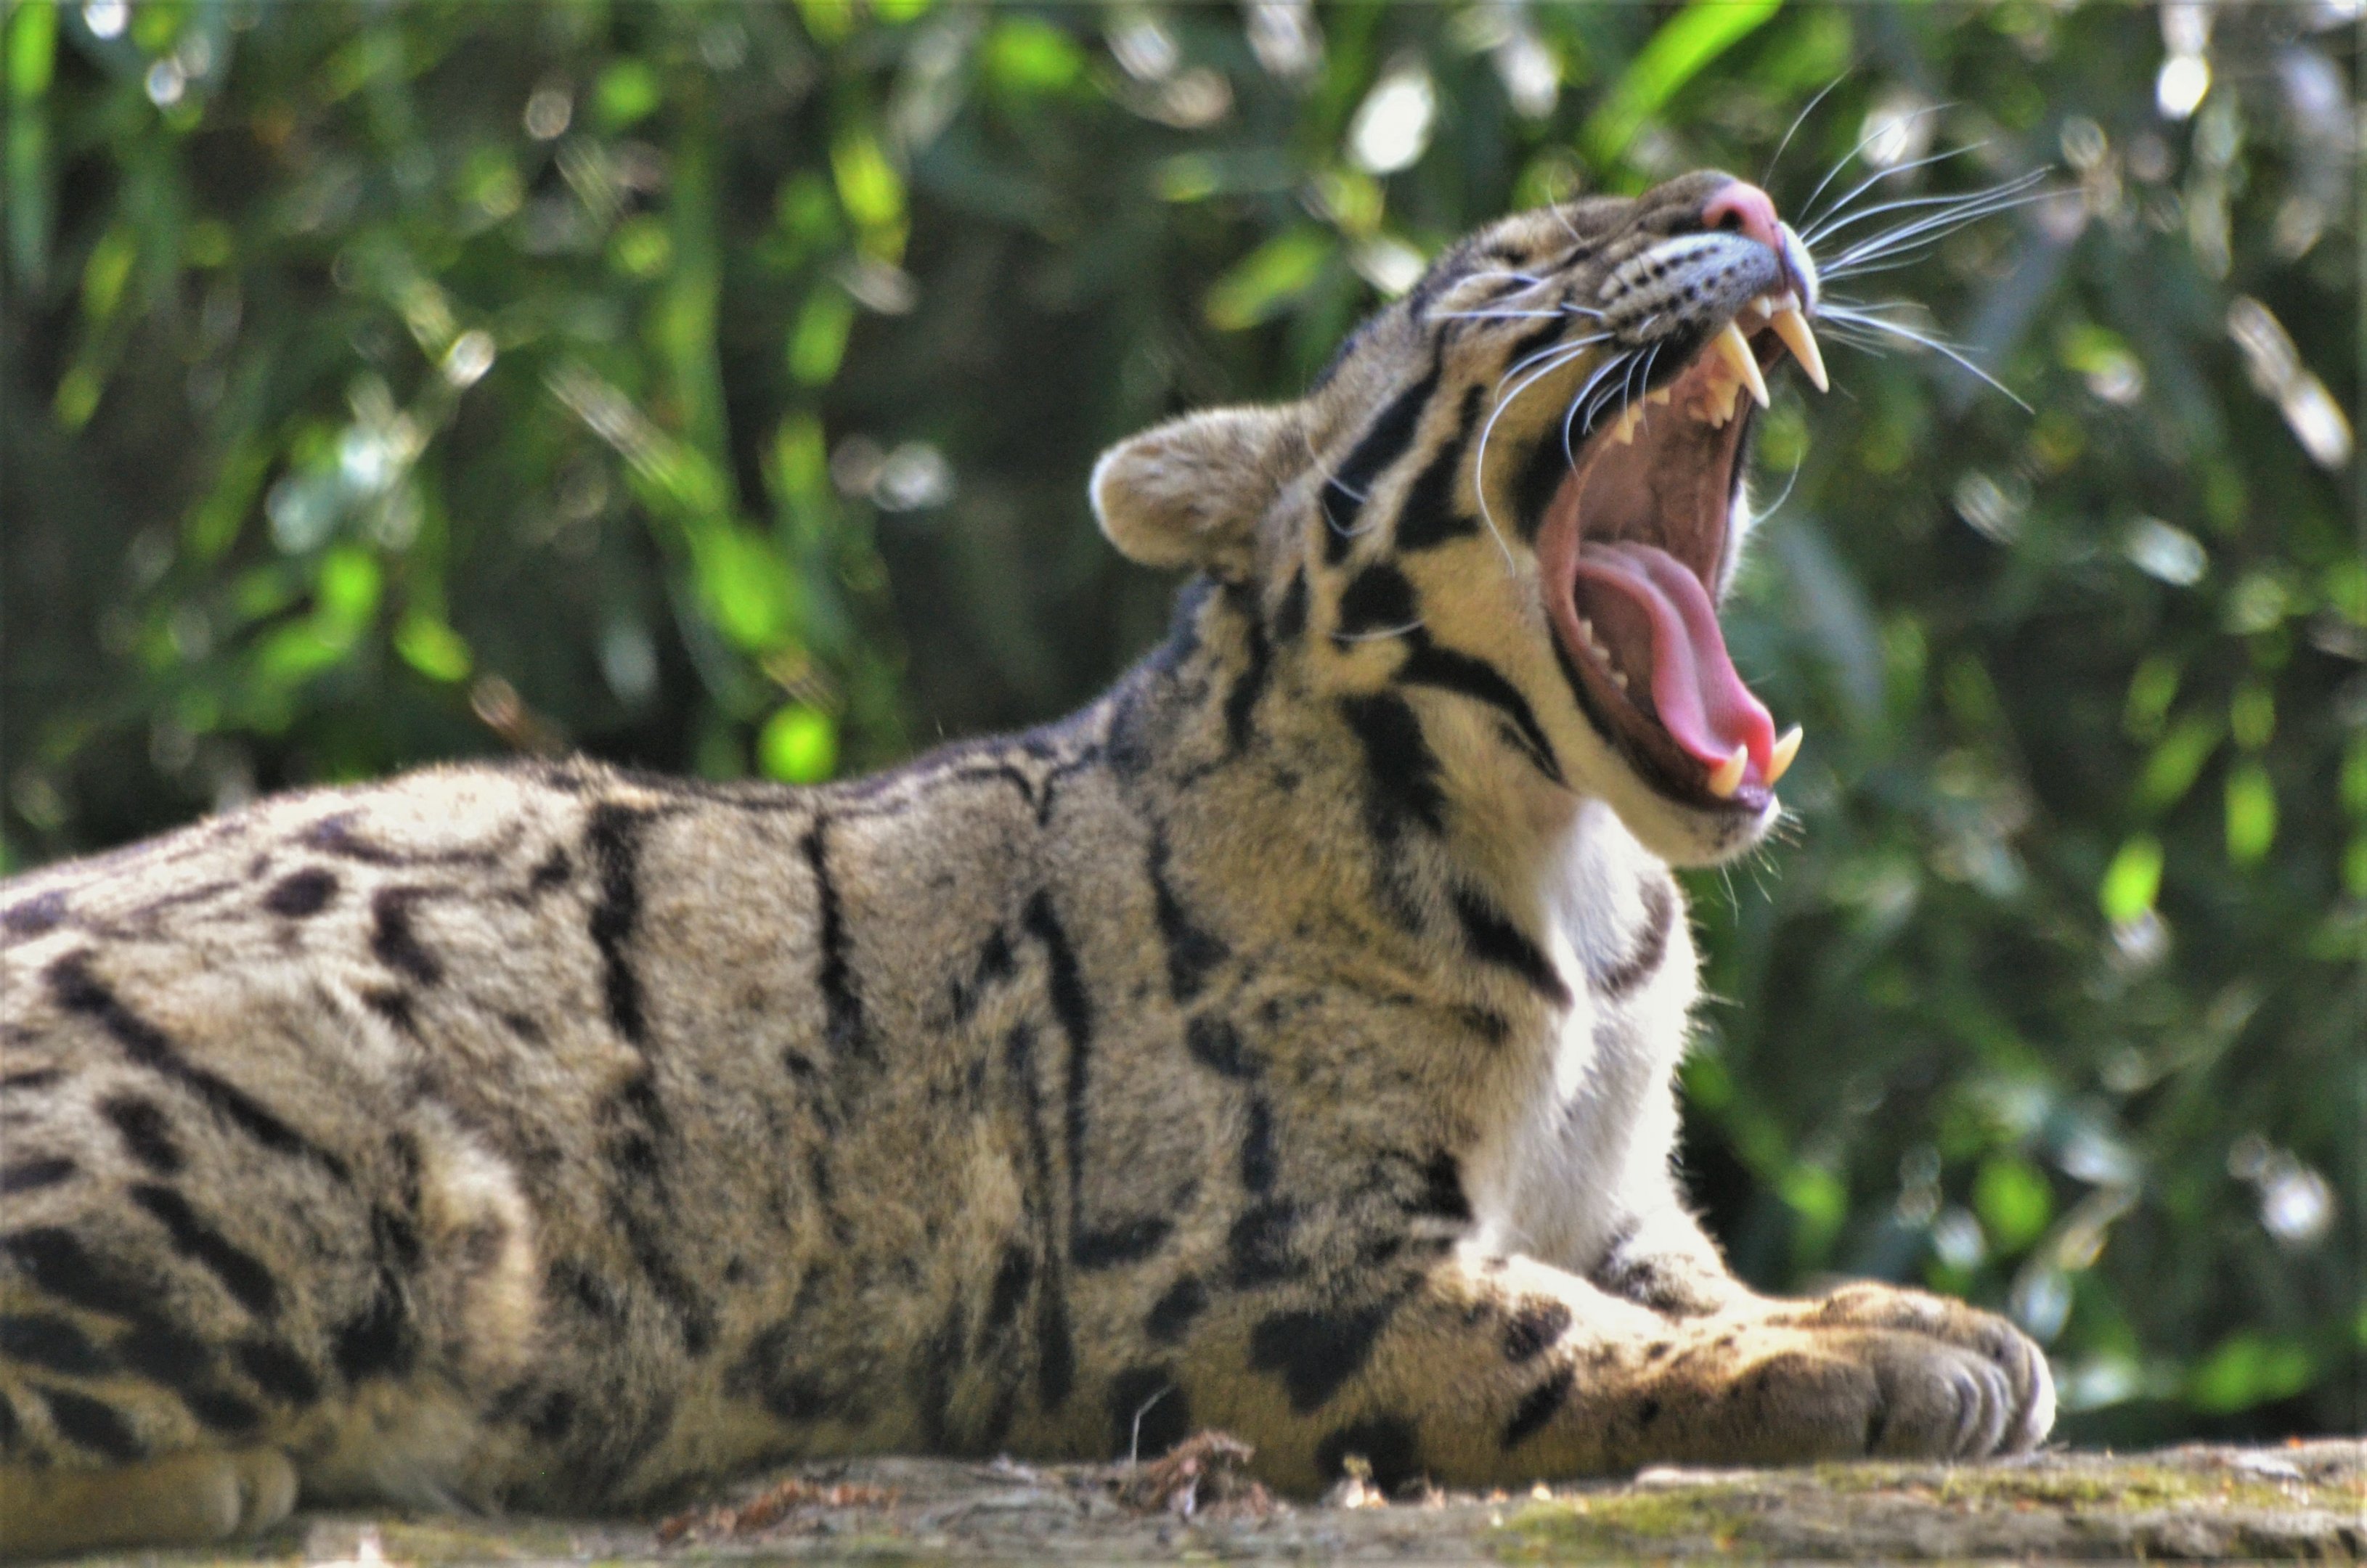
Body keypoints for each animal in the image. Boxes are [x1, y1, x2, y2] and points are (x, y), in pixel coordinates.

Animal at [0, 170, 2051, 1558]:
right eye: (1507, 274)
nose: (1745, 200)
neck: (1582, 888)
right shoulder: (1240, 1272)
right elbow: (1564, 1341)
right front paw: (1874, 1372)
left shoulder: (1616, 1189)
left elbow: (1696, 1283)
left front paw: (1914, 1320)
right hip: (361, 1199)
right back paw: (233, 1471)